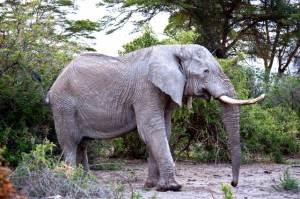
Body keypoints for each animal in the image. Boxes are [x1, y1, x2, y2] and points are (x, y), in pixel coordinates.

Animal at [32, 44, 264, 191]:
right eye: (206, 71)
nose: (233, 184)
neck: (175, 48)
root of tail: (52, 88)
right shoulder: (146, 88)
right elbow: (152, 129)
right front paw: (171, 187)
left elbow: (164, 130)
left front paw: (152, 186)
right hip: (64, 106)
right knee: (70, 143)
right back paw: (72, 180)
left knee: (83, 144)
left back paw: (87, 181)